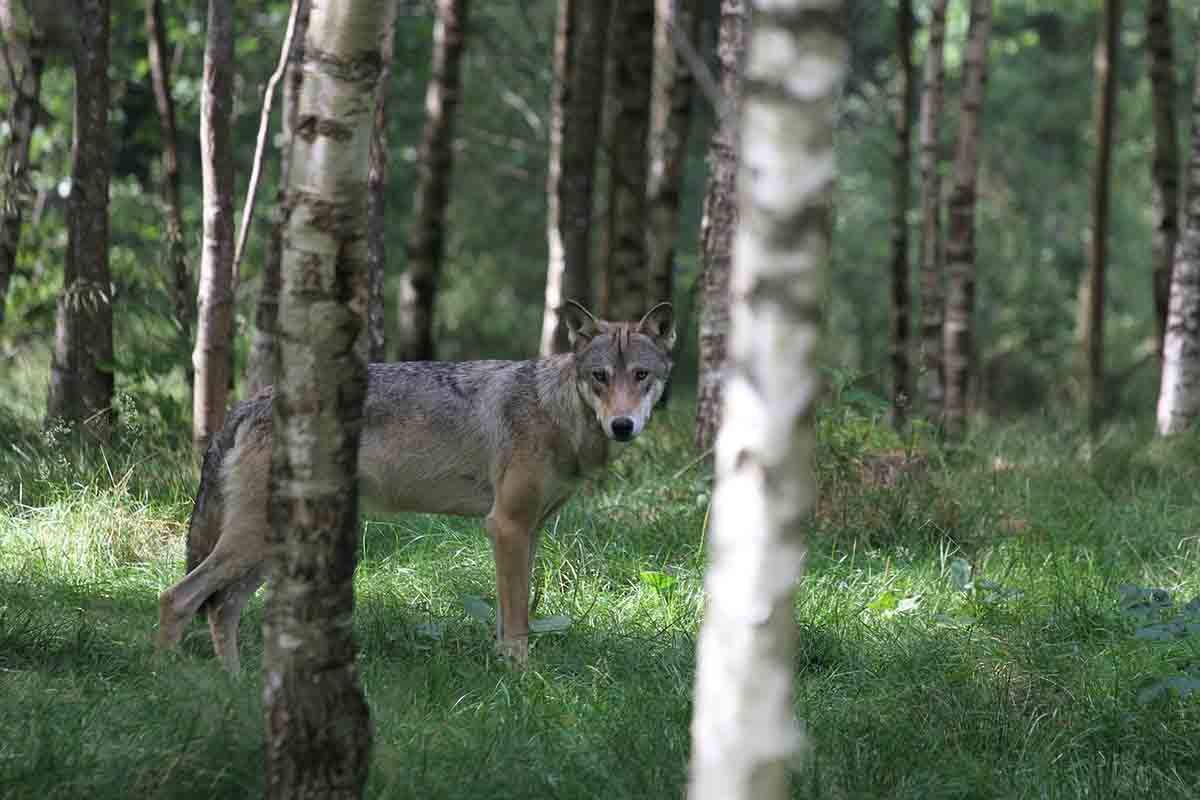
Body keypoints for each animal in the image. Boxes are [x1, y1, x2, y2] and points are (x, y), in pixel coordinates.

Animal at [157, 299, 676, 671]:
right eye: (600, 376)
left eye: (641, 375)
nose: (623, 425)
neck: (556, 413)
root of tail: (250, 403)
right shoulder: (506, 527)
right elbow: (515, 623)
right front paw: (521, 680)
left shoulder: (530, 533)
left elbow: (513, 614)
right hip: (253, 541)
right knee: (177, 598)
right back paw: (168, 678)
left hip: (269, 548)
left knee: (221, 609)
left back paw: (235, 687)